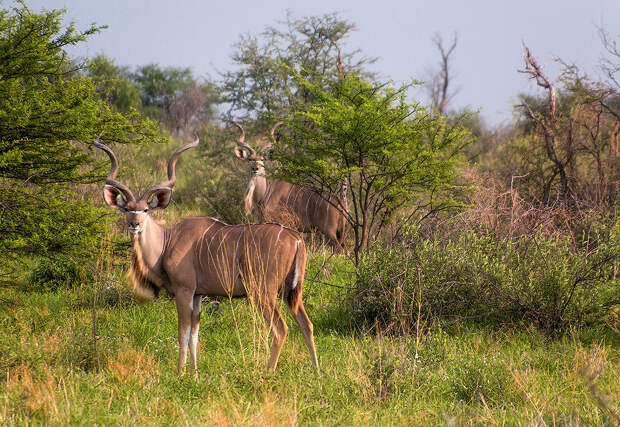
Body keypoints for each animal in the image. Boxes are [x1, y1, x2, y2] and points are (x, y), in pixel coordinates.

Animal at [95, 139, 320, 376]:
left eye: (146, 209)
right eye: (127, 209)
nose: (134, 224)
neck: (168, 241)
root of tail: (296, 239)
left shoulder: (184, 291)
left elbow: (182, 334)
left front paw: (180, 373)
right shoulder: (198, 295)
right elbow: (194, 335)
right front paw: (194, 374)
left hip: (262, 292)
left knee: (280, 329)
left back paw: (268, 373)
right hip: (292, 291)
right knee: (307, 324)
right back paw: (316, 371)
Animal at [235, 123, 346, 254]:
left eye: (262, 160)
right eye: (250, 159)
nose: (255, 168)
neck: (265, 192)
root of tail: (341, 204)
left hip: (329, 232)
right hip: (338, 234)